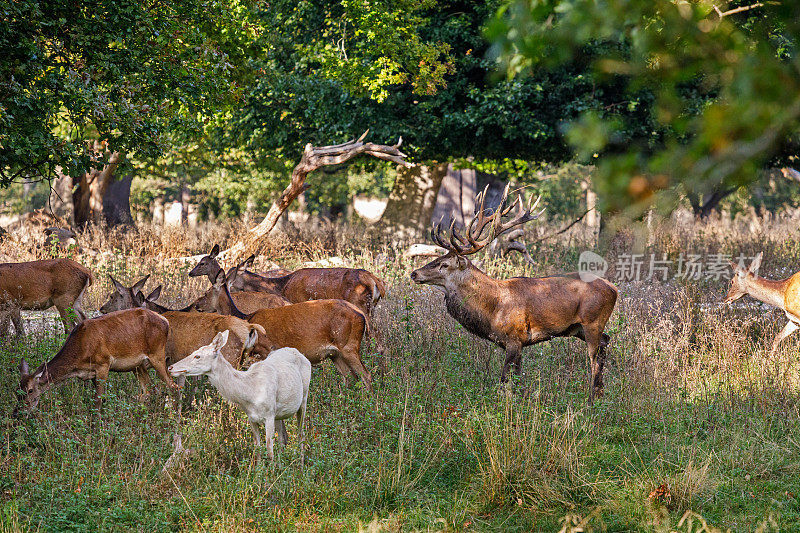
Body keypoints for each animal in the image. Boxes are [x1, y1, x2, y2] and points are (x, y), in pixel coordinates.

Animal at [14, 306, 173, 414]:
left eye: (30, 390)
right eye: (17, 390)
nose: (17, 413)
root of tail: (166, 321)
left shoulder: (103, 363)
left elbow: (98, 401)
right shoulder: (90, 374)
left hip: (157, 354)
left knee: (172, 385)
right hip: (137, 365)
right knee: (149, 390)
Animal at [167, 330, 310, 460]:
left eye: (197, 356)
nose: (170, 367)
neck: (250, 393)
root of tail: (299, 353)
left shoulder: (269, 414)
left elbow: (269, 452)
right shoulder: (252, 417)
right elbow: (257, 449)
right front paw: (258, 471)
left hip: (304, 397)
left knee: (301, 434)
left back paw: (300, 466)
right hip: (279, 414)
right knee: (282, 438)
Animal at [192, 272, 374, 388]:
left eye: (206, 293)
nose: (195, 306)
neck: (246, 318)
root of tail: (361, 315)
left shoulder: (264, 351)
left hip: (349, 345)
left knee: (366, 376)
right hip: (335, 354)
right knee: (350, 377)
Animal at [410, 187, 620, 404]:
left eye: (444, 264)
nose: (414, 273)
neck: (493, 309)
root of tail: (614, 288)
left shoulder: (515, 338)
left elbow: (505, 381)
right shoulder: (515, 343)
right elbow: (517, 380)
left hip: (593, 321)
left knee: (594, 358)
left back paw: (592, 399)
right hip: (578, 328)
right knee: (606, 341)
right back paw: (600, 394)